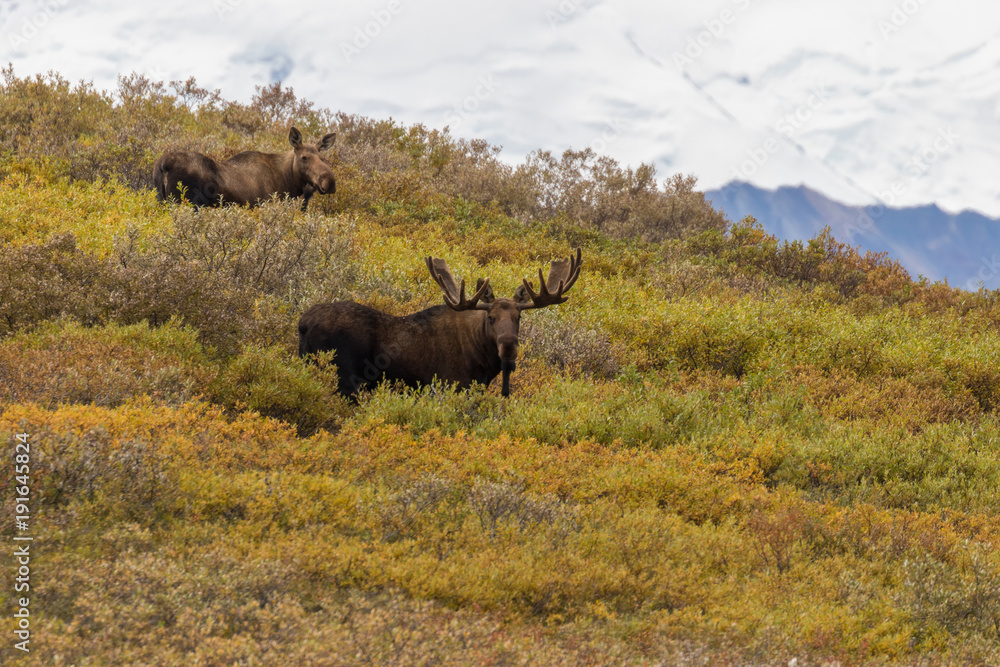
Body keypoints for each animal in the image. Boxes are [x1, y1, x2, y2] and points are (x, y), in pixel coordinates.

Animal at [298, 249, 583, 397]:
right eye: (490, 318)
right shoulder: (454, 386)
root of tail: (303, 322)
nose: (508, 345)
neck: (484, 361)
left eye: (519, 317)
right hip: (344, 379)